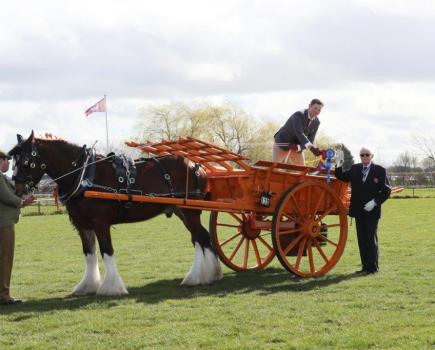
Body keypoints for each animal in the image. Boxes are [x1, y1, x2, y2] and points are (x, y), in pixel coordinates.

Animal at [8, 131, 223, 296]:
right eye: (13, 162)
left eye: (26, 161)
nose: (17, 189)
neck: (84, 174)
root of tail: (196, 166)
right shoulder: (82, 225)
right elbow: (89, 253)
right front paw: (87, 286)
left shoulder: (100, 223)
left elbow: (106, 251)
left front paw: (111, 288)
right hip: (181, 211)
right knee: (200, 238)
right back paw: (204, 276)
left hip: (190, 211)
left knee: (201, 238)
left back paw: (201, 276)